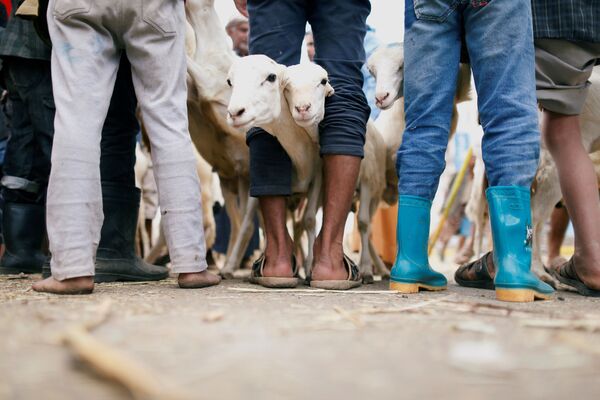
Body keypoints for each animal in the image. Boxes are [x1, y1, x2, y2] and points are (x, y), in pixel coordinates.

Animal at [282, 63, 390, 282]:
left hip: (375, 192)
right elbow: (311, 221)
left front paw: (366, 269)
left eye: (323, 81)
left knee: (369, 227)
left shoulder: (367, 182)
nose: (303, 108)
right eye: (287, 86)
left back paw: (379, 269)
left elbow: (363, 223)